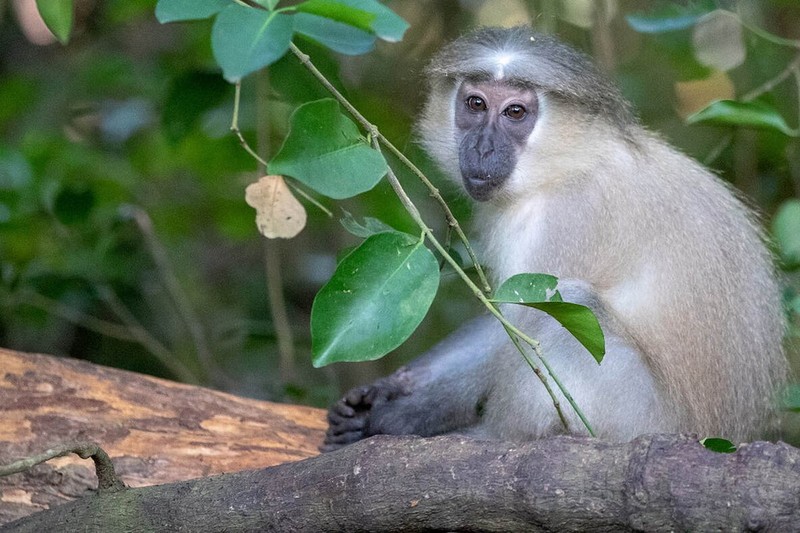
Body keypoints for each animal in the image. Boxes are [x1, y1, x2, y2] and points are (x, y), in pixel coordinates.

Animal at [320, 25, 788, 448]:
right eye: (475, 104)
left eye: (514, 113)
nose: (482, 147)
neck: (567, 165)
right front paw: (391, 388)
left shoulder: (567, 217)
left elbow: (523, 313)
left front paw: (404, 415)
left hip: (636, 415)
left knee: (572, 304)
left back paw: (493, 436)